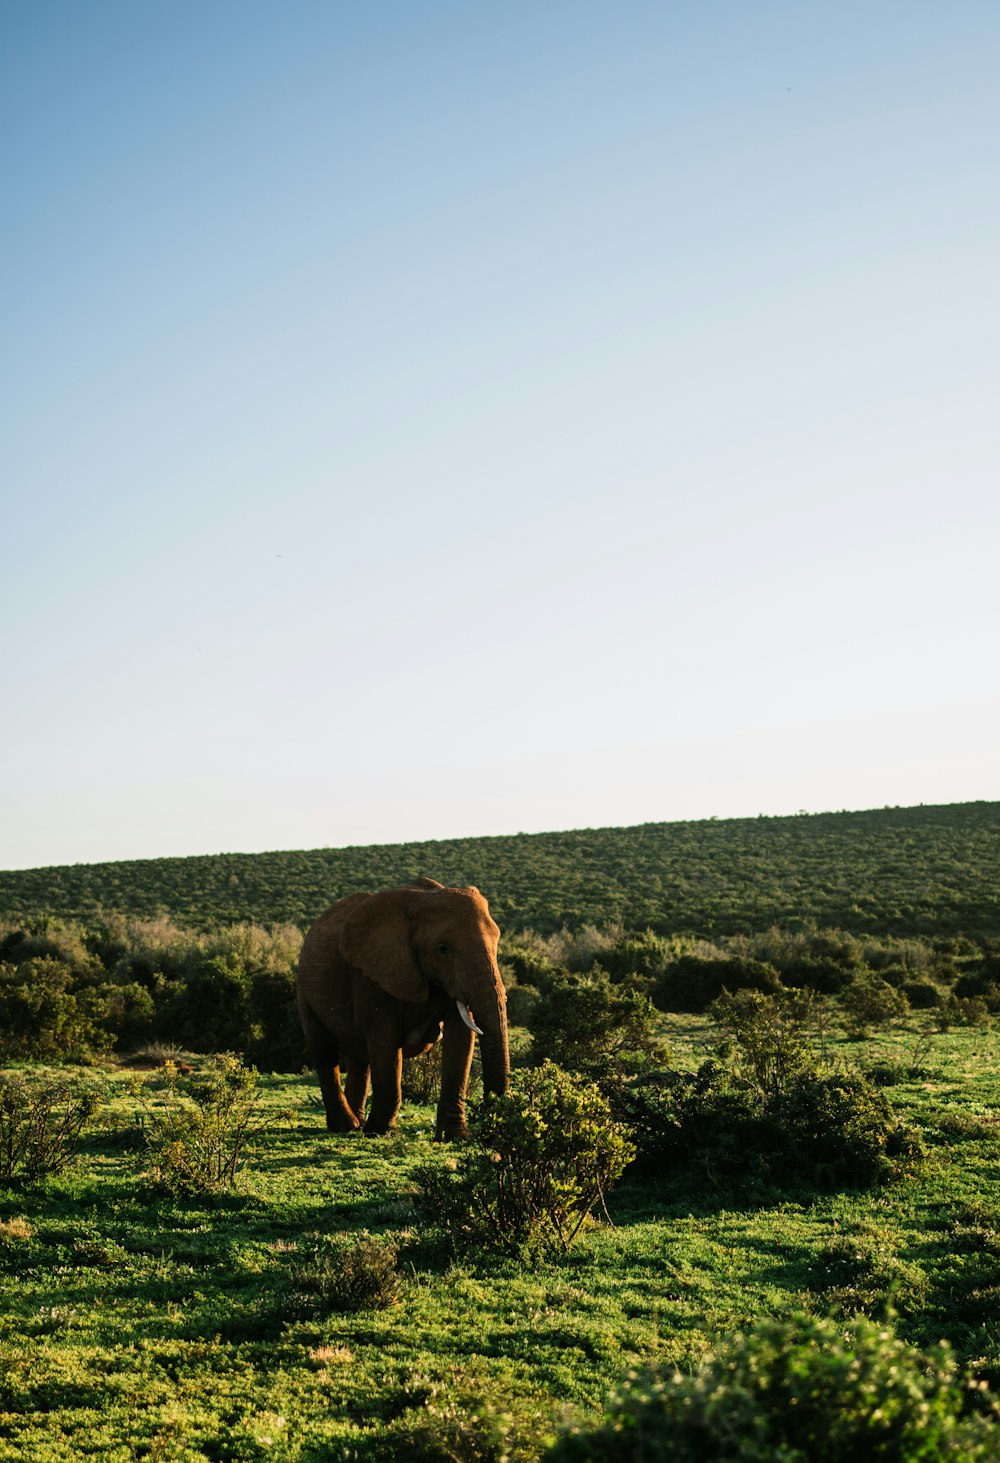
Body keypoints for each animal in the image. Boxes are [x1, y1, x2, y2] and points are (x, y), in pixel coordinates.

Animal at [292, 871, 502, 1135]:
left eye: (497, 943)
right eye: (443, 950)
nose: (492, 1125)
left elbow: (461, 1038)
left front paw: (453, 1136)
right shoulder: (372, 972)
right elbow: (385, 1038)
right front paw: (380, 1132)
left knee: (360, 1057)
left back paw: (358, 1123)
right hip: (304, 989)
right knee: (323, 1050)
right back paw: (347, 1126)